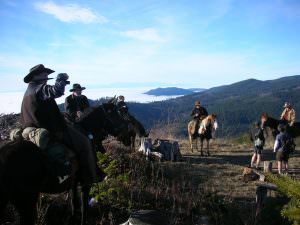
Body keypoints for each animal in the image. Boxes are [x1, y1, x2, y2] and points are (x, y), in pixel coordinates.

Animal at [0, 103, 131, 225]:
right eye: (114, 114)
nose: (127, 138)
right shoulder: (85, 183)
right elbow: (84, 208)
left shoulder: (73, 181)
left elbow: (73, 204)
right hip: (26, 203)